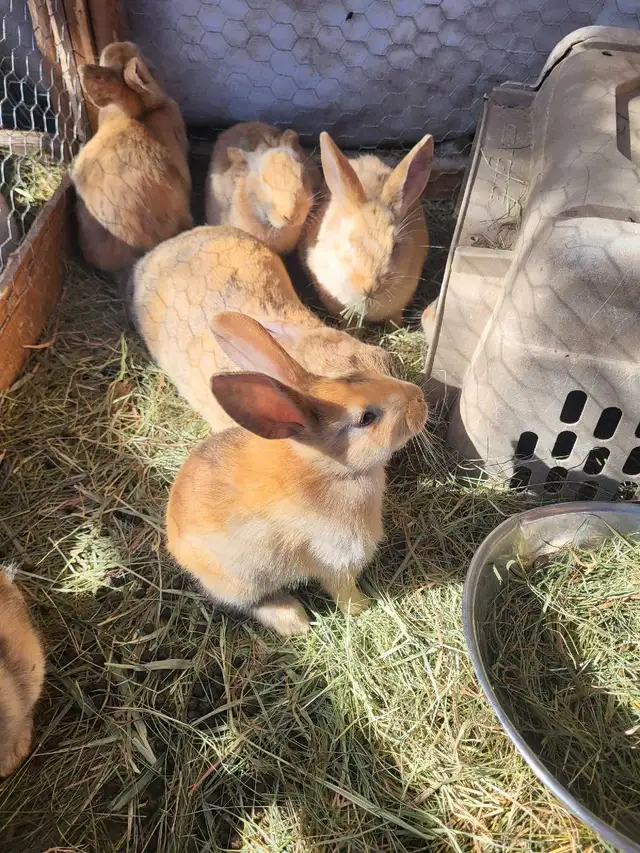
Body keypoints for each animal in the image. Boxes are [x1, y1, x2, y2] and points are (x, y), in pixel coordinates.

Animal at [166, 311, 428, 636]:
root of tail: (173, 540)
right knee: (251, 603)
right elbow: (342, 590)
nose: (419, 397)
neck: (333, 472)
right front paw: (362, 608)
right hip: (244, 581)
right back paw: (296, 621)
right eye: (367, 418)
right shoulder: (335, 561)